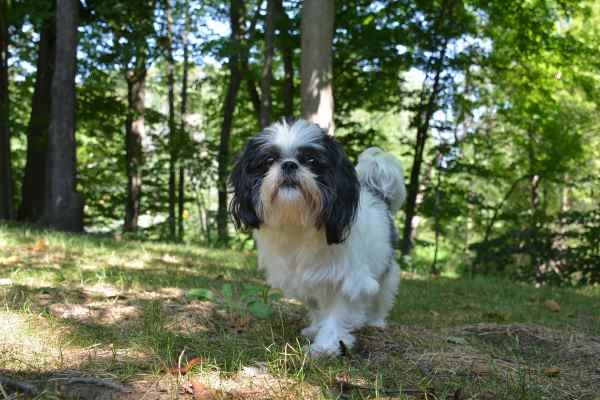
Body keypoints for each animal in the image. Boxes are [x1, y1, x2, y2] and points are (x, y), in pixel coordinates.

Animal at [230, 119, 408, 356]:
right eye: (269, 160)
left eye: (312, 160)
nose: (289, 165)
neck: (299, 224)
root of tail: (379, 195)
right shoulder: (306, 279)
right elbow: (317, 308)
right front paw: (316, 328)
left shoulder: (347, 279)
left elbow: (338, 311)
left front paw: (327, 345)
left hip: (385, 269)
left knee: (381, 296)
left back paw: (375, 321)